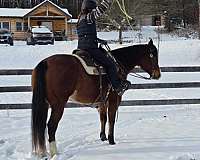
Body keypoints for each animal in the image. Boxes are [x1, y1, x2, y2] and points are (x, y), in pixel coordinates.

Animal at [30, 39, 161, 158]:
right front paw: (111, 140)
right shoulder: (114, 100)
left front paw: (103, 137)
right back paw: (54, 153)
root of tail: (45, 63)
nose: (158, 75)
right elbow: (111, 119)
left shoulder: (102, 101)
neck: (118, 65)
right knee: (51, 126)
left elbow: (103, 118)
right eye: (153, 55)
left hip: (44, 104)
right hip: (58, 105)